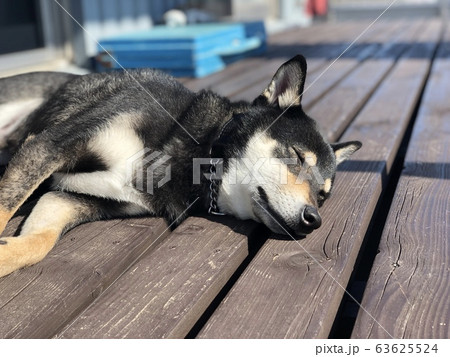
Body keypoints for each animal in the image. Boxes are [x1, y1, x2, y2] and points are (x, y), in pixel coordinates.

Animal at [0, 55, 360, 276]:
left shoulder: (70, 198)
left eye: (323, 195)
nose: (314, 220)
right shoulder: (51, 145)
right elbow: (7, 208)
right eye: (296, 156)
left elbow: (38, 243)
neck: (196, 145)